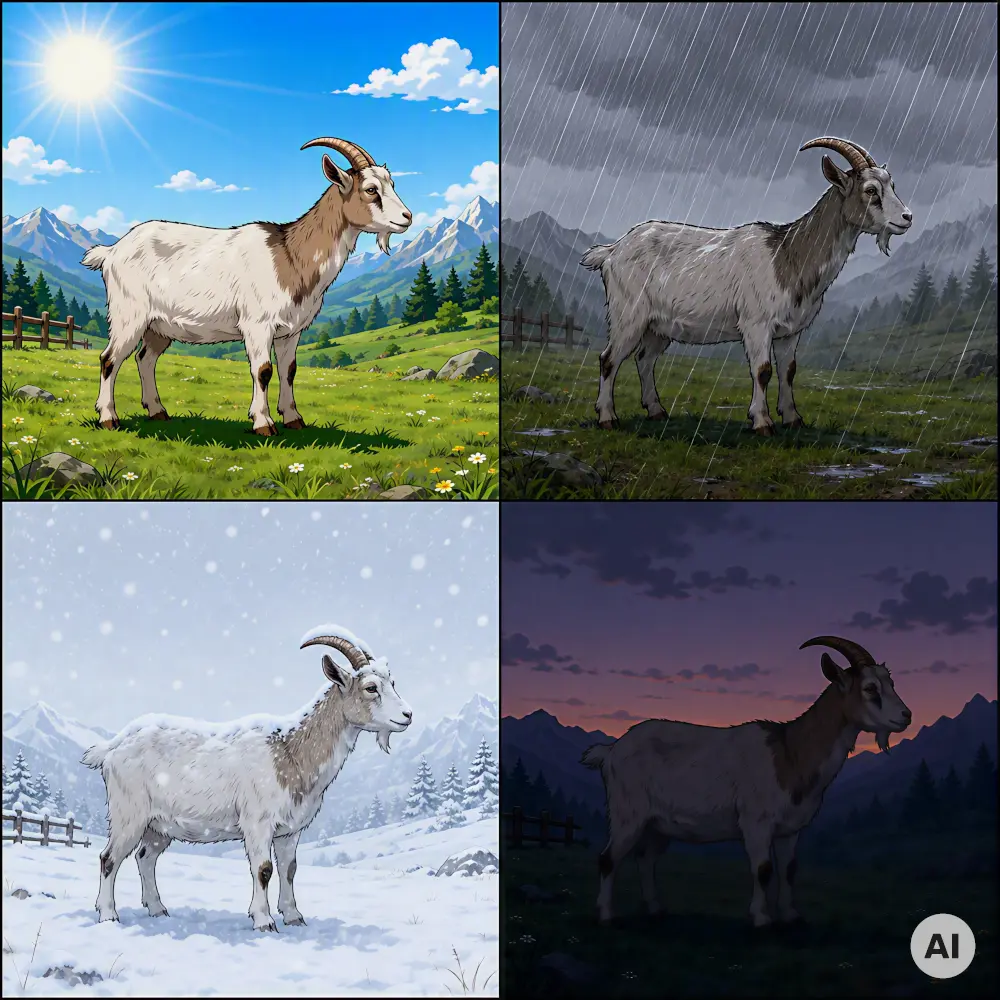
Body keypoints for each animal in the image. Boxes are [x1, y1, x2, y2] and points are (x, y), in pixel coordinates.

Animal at [81, 626, 412, 931]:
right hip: (129, 814)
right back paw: (109, 915)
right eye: (371, 687)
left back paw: (158, 909)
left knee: (145, 857)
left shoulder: (290, 831)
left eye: (392, 682)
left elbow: (289, 869)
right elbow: (263, 869)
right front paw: (264, 921)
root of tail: (112, 748)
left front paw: (294, 917)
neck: (290, 751)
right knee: (109, 858)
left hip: (158, 825)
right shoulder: (258, 823)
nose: (407, 715)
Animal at [82, 138, 412, 435]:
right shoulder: (257, 325)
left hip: (159, 325)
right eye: (371, 189)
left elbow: (289, 370)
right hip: (129, 314)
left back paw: (157, 411)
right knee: (109, 359)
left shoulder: (291, 330)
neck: (290, 254)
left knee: (145, 359)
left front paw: (293, 418)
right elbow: (263, 370)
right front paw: (263, 423)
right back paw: (108, 418)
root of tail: (112, 251)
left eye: (392, 183)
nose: (407, 218)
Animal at [581, 137, 912, 433]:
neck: (788, 255)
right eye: (870, 190)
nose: (907, 217)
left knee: (644, 359)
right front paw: (762, 422)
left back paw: (656, 411)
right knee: (609, 359)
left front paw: (792, 419)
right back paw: (607, 418)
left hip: (658, 326)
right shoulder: (757, 324)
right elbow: (762, 370)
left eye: (892, 186)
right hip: (629, 314)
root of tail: (612, 251)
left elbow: (789, 371)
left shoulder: (790, 331)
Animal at [581, 636, 911, 927]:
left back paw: (656, 910)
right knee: (608, 858)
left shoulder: (790, 829)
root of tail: (611, 750)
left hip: (656, 823)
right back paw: (607, 916)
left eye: (891, 683)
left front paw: (791, 916)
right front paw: (762, 919)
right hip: (627, 813)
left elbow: (789, 870)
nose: (906, 716)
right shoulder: (756, 821)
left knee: (646, 859)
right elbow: (763, 869)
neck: (790, 751)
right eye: (870, 687)